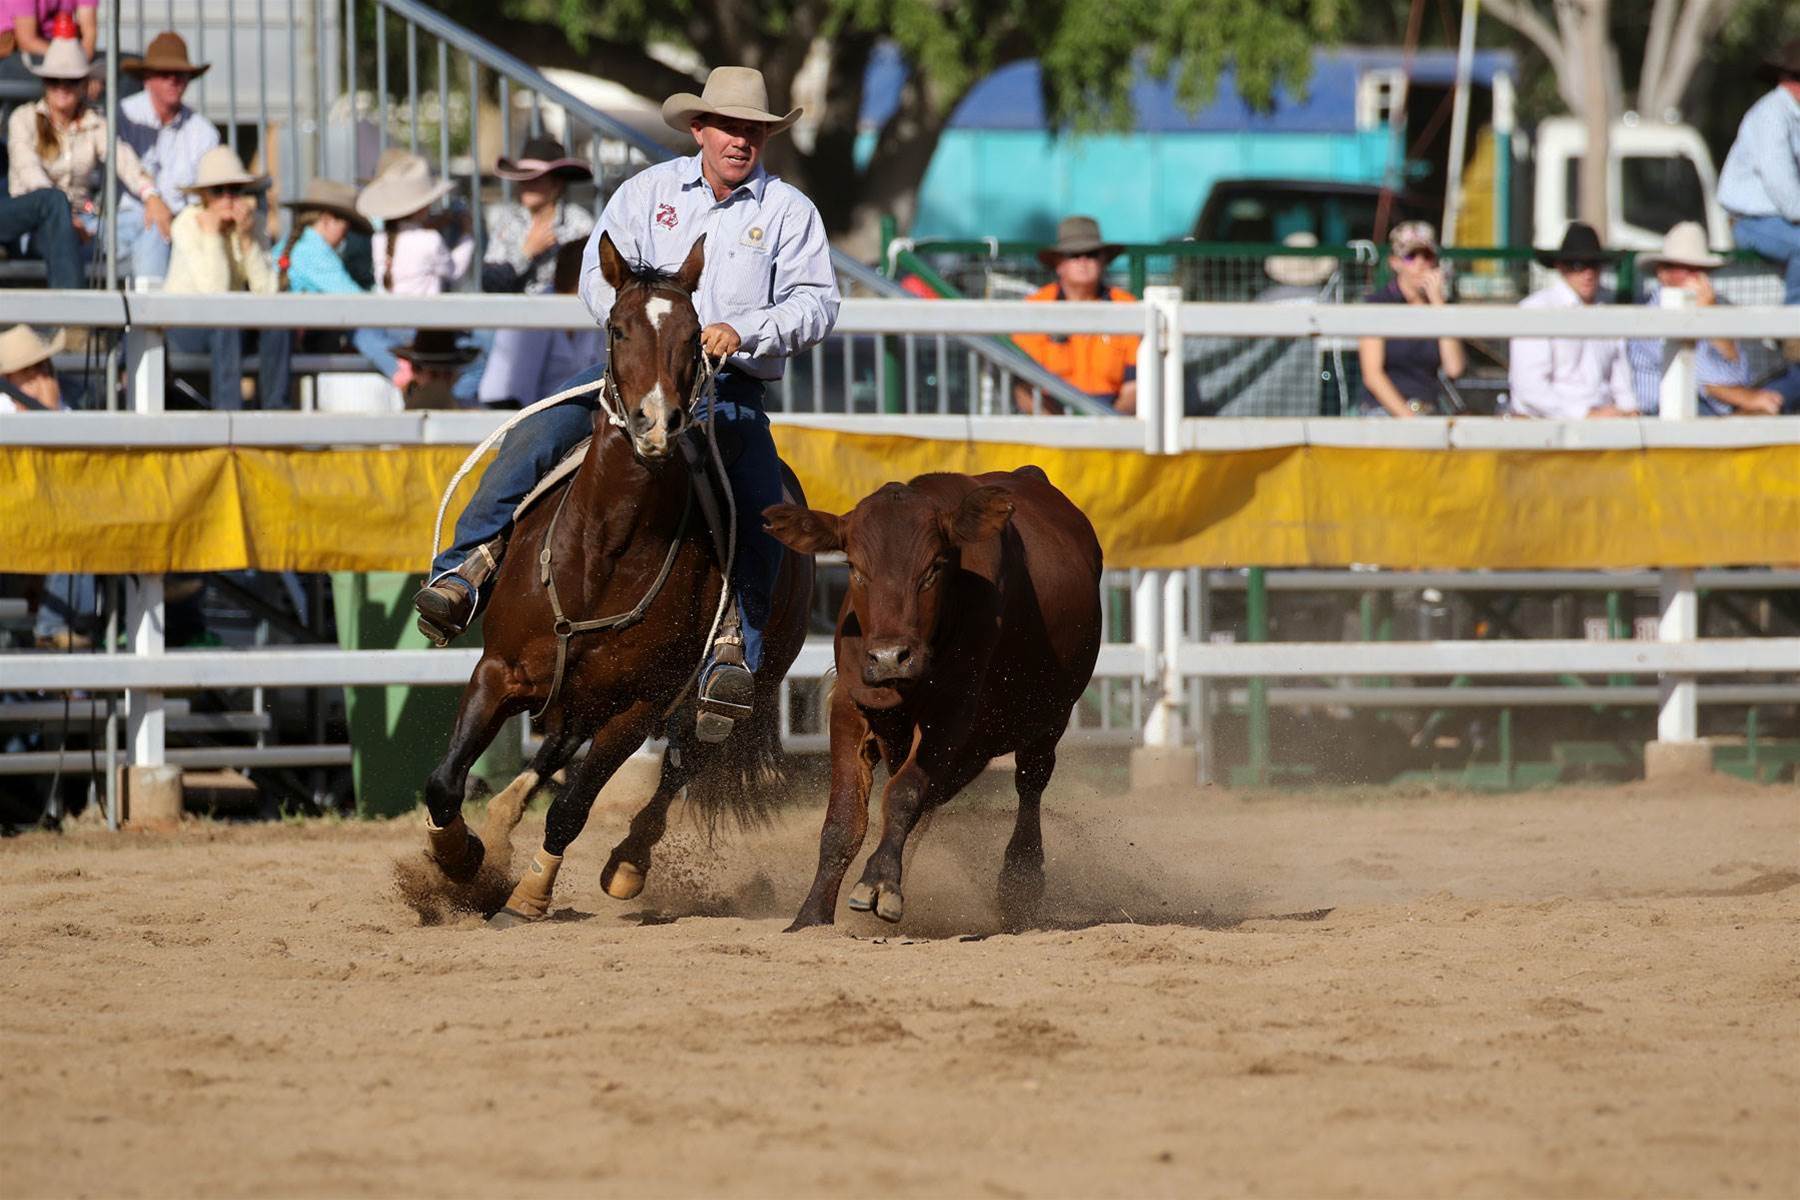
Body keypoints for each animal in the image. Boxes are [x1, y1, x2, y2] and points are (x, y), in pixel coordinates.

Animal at [417, 233, 813, 928]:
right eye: (619, 327)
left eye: (694, 334)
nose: (657, 422)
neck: (603, 552)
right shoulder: (498, 670)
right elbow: (445, 781)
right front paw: (460, 859)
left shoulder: (639, 706)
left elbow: (574, 808)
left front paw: (527, 896)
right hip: (576, 691)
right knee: (555, 749)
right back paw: (500, 821)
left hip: (732, 692)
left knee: (682, 765)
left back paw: (629, 862)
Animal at [759, 464, 1094, 935]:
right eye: (854, 567)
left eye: (934, 567)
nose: (890, 657)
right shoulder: (849, 706)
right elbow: (844, 819)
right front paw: (811, 915)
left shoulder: (951, 715)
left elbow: (903, 794)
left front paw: (880, 882)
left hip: (1049, 720)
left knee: (1030, 782)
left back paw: (1020, 883)